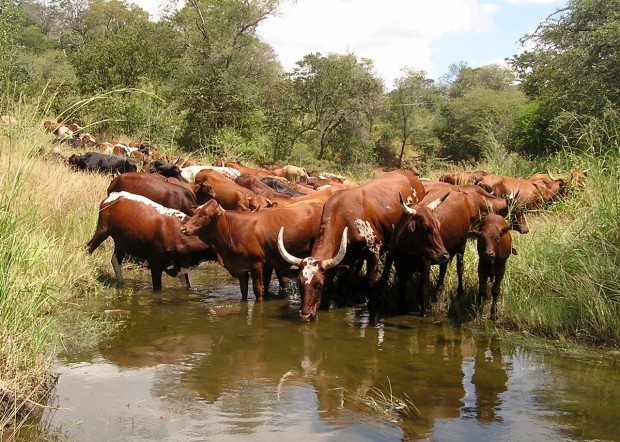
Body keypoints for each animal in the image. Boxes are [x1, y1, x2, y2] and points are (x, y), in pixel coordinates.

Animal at [86, 193, 214, 290]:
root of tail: (114, 195)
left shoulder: (180, 266)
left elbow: (187, 287)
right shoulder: (155, 263)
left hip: (121, 241)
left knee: (115, 260)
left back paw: (122, 283)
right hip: (102, 229)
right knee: (89, 247)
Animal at [180, 199, 322, 300]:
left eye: (204, 215)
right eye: (195, 213)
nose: (183, 228)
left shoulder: (256, 263)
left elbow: (257, 289)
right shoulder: (241, 268)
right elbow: (244, 291)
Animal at [278, 169, 434, 322]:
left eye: (319, 284)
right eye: (300, 283)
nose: (305, 315)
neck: (343, 216)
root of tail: (412, 176)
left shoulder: (374, 250)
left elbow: (370, 282)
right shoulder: (345, 260)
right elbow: (339, 284)